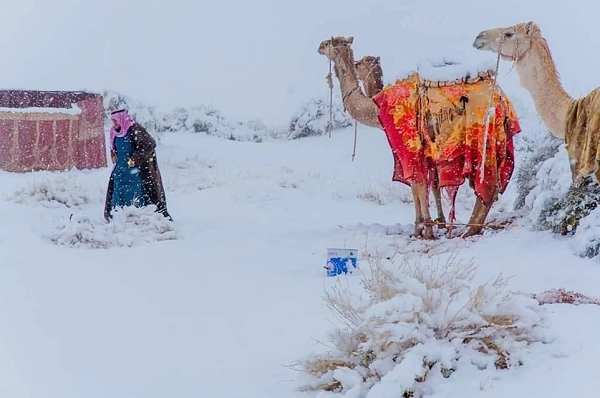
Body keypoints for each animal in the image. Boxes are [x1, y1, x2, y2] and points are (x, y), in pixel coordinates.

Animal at [318, 35, 520, 238]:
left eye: (328, 43)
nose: (319, 47)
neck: (376, 107)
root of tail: (502, 101)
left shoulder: (408, 144)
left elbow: (417, 184)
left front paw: (423, 229)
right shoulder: (427, 150)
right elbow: (430, 184)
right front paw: (436, 224)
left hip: (482, 136)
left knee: (488, 186)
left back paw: (469, 230)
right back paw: (470, 228)